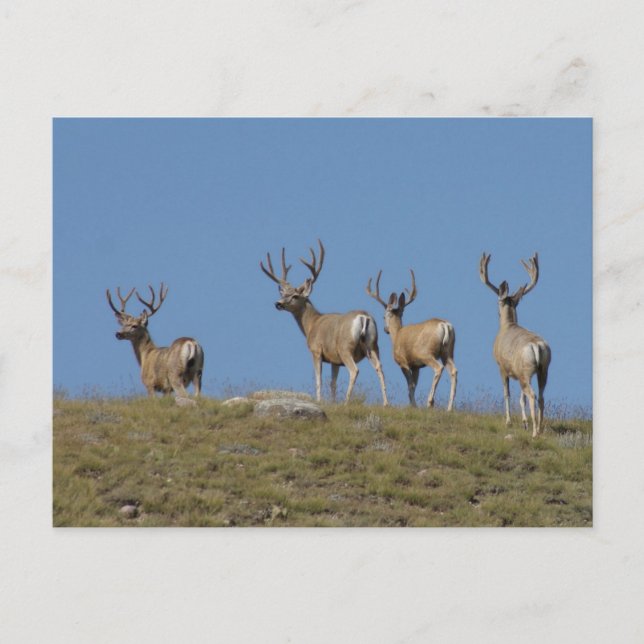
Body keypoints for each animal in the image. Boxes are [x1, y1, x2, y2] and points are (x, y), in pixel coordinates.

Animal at [260, 239, 389, 406]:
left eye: (295, 296)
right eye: (284, 294)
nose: (278, 303)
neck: (311, 324)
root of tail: (363, 317)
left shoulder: (316, 350)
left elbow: (318, 379)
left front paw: (319, 400)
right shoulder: (334, 360)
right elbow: (333, 383)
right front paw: (332, 402)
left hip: (345, 347)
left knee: (354, 370)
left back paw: (346, 401)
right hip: (373, 345)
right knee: (380, 368)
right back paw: (386, 403)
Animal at [366, 269, 457, 410]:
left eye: (383, 316)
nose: (385, 329)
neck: (396, 335)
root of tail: (444, 325)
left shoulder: (403, 362)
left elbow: (410, 386)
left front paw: (413, 405)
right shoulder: (416, 366)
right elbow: (414, 386)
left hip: (426, 353)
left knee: (438, 368)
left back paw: (430, 402)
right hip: (447, 352)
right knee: (454, 371)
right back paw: (449, 408)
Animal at [479, 252, 551, 437]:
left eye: (496, 302)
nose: (497, 312)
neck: (508, 325)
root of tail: (537, 346)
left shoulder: (501, 366)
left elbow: (507, 393)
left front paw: (509, 422)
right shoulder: (517, 373)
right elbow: (521, 398)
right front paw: (524, 422)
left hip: (526, 370)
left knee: (532, 395)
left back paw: (534, 432)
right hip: (543, 370)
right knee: (541, 396)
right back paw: (540, 428)